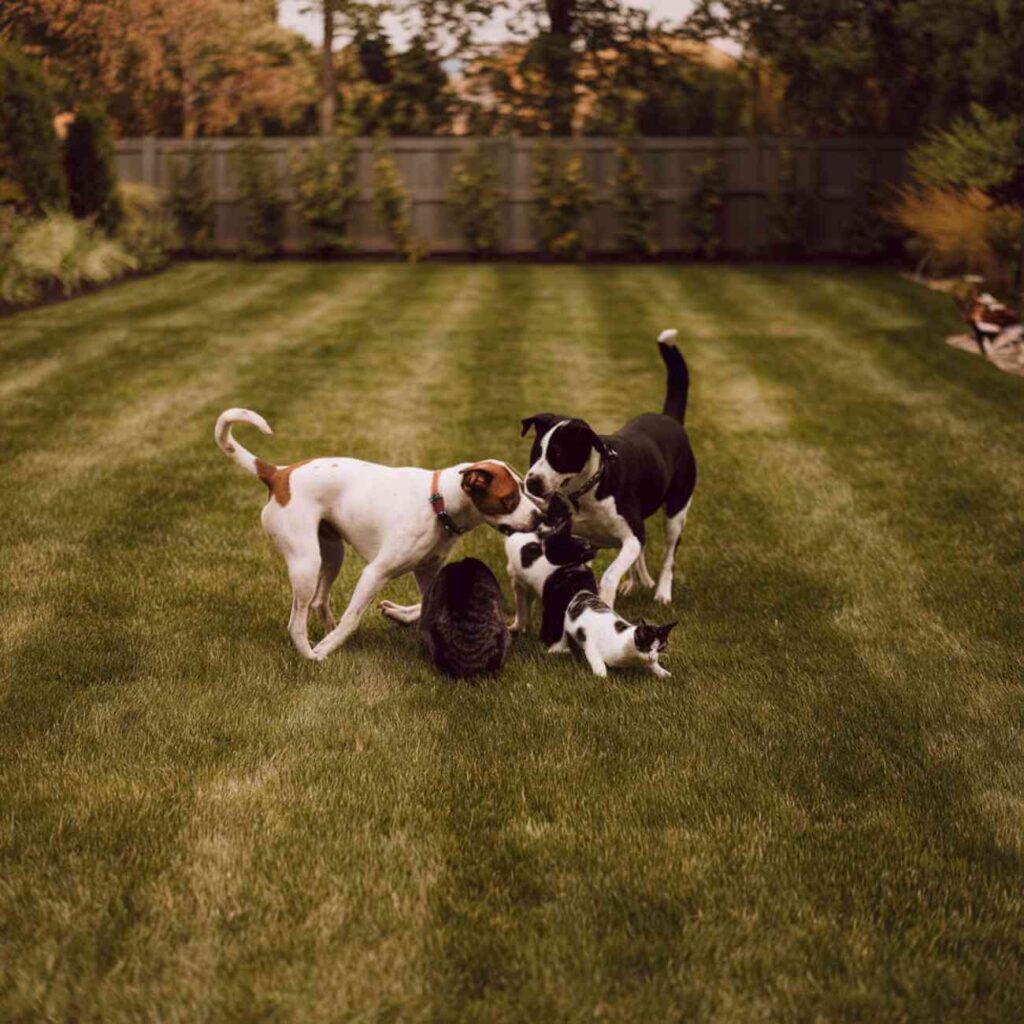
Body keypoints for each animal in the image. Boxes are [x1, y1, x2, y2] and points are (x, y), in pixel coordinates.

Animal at [211, 409, 540, 663]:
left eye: (525, 488)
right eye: (510, 499)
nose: (539, 516)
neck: (438, 502)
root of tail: (279, 474)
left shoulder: (427, 571)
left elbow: (424, 605)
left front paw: (398, 614)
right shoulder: (375, 572)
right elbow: (353, 618)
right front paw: (329, 646)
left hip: (332, 553)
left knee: (319, 601)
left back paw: (326, 632)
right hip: (306, 562)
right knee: (296, 623)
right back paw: (313, 654)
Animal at [520, 329, 696, 606]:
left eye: (557, 455)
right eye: (536, 453)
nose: (532, 482)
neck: (589, 490)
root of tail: (669, 418)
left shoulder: (631, 536)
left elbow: (611, 573)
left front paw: (607, 596)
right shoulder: (577, 539)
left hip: (677, 510)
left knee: (669, 554)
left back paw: (662, 593)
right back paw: (637, 582)